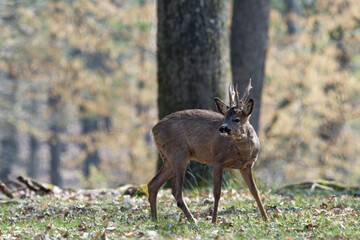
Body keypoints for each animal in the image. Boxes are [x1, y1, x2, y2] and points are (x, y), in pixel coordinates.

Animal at [146, 79, 268, 222]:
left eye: (236, 119)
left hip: (168, 158)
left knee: (153, 184)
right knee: (175, 190)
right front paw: (214, 220)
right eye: (224, 118)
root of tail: (153, 130)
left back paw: (155, 219)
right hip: (178, 153)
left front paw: (266, 218)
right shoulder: (217, 159)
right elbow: (217, 192)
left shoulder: (247, 166)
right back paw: (193, 220)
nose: (222, 128)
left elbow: (255, 191)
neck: (242, 153)